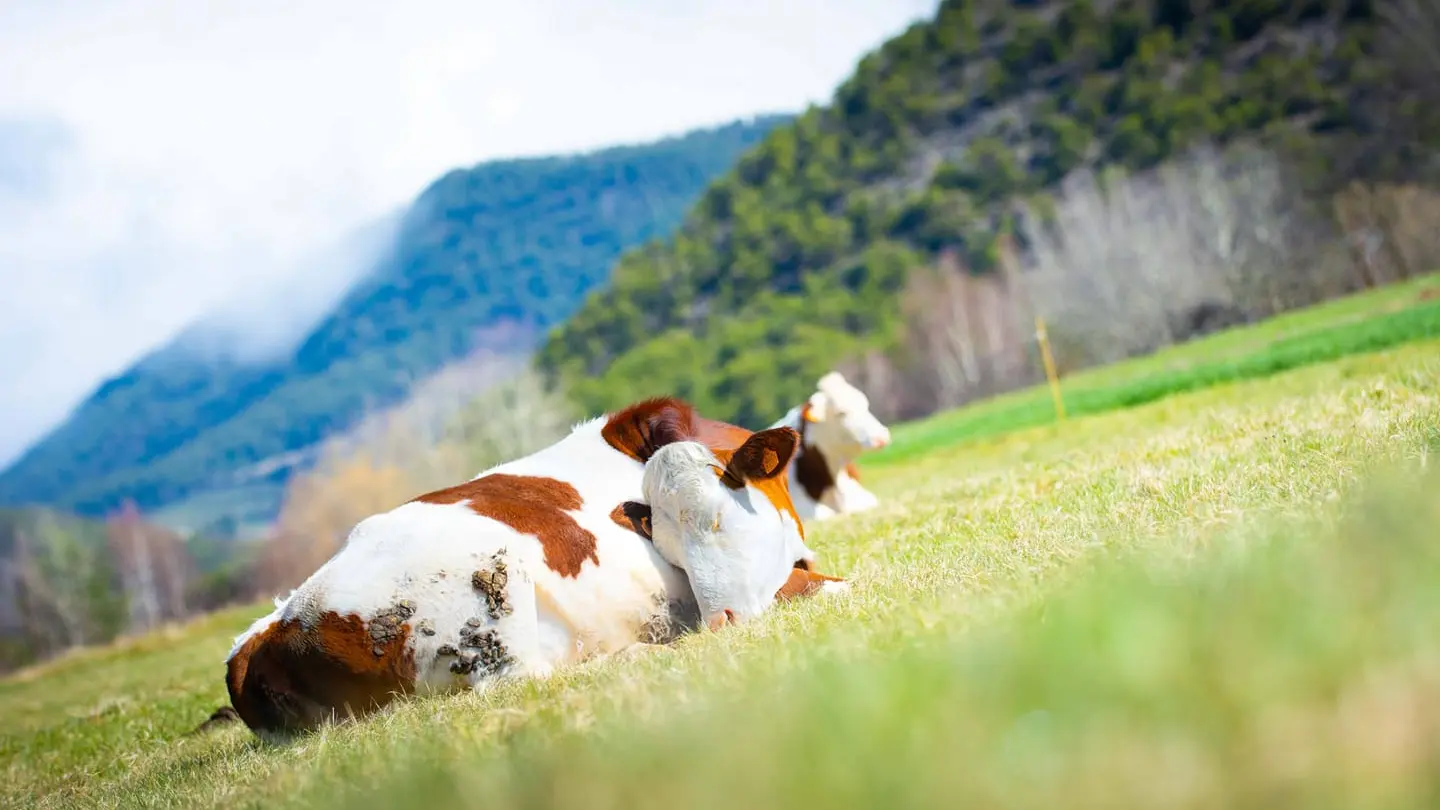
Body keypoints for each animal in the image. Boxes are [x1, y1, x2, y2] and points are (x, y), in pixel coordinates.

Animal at [219, 397, 847, 743]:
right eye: (666, 544)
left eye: (715, 518)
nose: (723, 622)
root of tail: (268, 633)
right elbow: (833, 589)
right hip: (486, 594)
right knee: (521, 679)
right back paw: (642, 652)